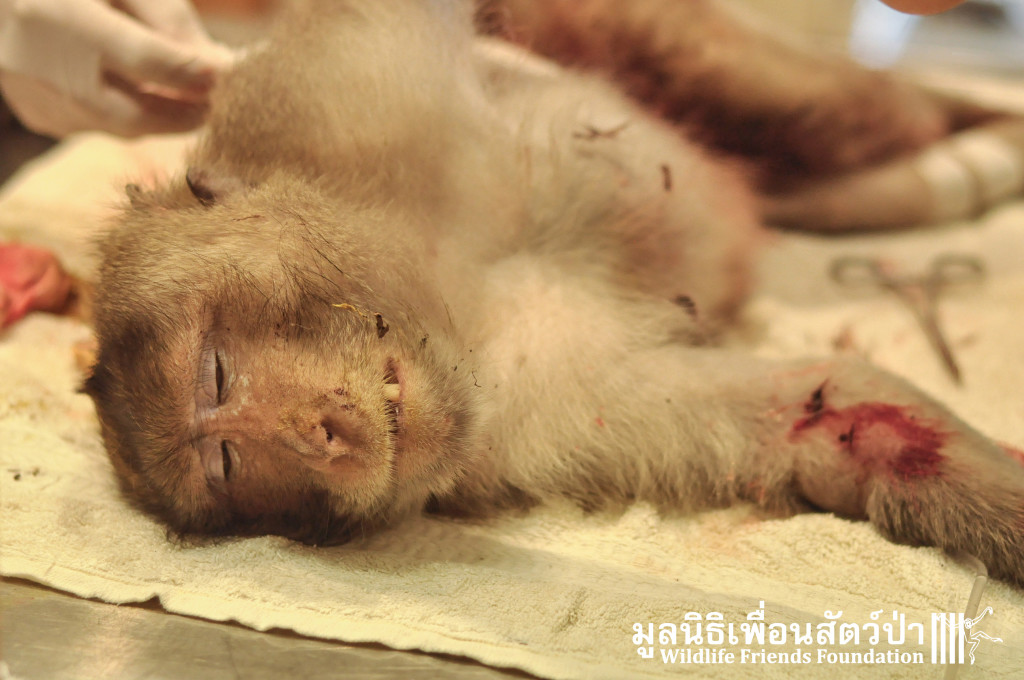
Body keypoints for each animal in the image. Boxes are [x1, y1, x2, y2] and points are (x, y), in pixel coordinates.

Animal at [83, 0, 1024, 587]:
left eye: (216, 369)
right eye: (228, 466)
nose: (315, 434)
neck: (456, 303)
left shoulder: (335, 88)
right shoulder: (538, 425)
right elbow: (823, 415)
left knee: (822, 101)